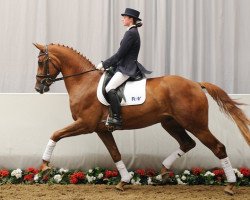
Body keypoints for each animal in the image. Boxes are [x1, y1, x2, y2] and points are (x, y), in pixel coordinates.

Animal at [34, 43, 249, 194]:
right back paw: (162, 173)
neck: (84, 82)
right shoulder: (101, 129)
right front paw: (123, 181)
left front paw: (44, 166)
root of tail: (196, 84)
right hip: (170, 122)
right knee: (187, 143)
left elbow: (55, 134)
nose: (38, 88)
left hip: (196, 124)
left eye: (40, 62)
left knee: (218, 148)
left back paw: (230, 185)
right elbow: (115, 154)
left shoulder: (85, 124)